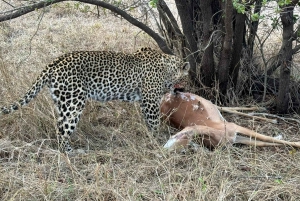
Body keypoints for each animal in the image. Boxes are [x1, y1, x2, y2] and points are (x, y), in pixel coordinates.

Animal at [0, 48, 189, 153]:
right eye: (186, 79)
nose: (185, 88)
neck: (168, 70)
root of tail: (54, 63)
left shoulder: (145, 101)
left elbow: (149, 123)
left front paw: (151, 137)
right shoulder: (150, 100)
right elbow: (154, 122)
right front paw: (158, 140)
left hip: (63, 101)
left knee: (59, 125)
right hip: (74, 102)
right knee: (62, 130)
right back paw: (73, 152)